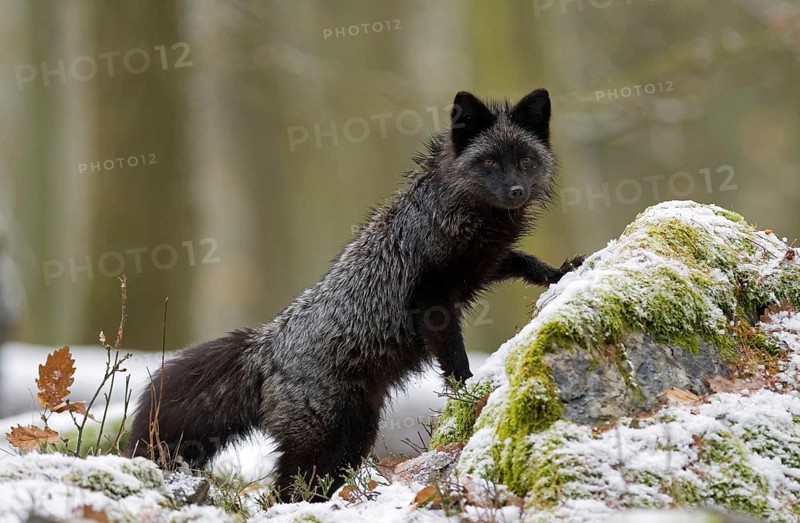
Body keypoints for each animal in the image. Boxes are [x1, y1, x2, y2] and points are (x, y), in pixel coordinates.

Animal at [126, 88, 583, 501]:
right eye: (488, 161)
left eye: (525, 161)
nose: (517, 191)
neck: (456, 213)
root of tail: (266, 346)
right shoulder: (431, 299)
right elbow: (454, 357)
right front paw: (468, 387)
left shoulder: (483, 263)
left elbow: (524, 261)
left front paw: (562, 272)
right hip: (321, 438)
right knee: (285, 489)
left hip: (355, 435)